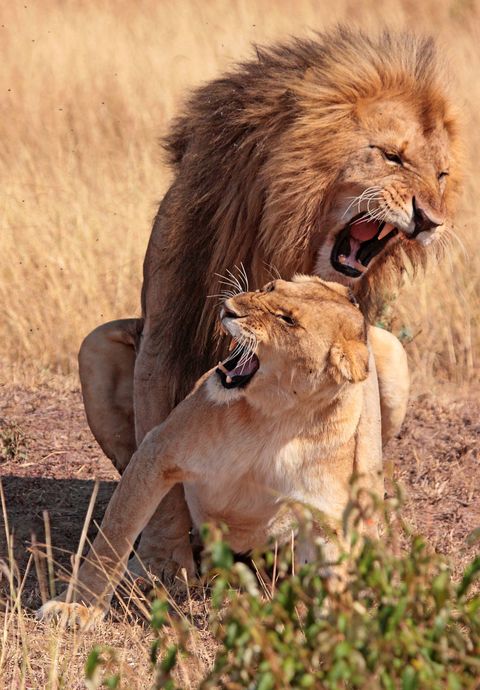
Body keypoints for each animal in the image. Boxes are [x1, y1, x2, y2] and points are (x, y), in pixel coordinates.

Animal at [38, 276, 382, 624]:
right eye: (270, 287)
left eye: (287, 320)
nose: (230, 309)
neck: (277, 420)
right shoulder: (157, 452)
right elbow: (114, 536)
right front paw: (78, 606)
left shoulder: (325, 515)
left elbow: (336, 575)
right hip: (94, 349)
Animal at [78, 26, 462, 576]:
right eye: (392, 157)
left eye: (443, 177)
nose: (432, 220)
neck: (287, 231)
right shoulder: (165, 332)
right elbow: (160, 464)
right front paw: (162, 561)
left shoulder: (357, 337)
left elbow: (359, 440)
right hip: (93, 350)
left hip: (394, 354)